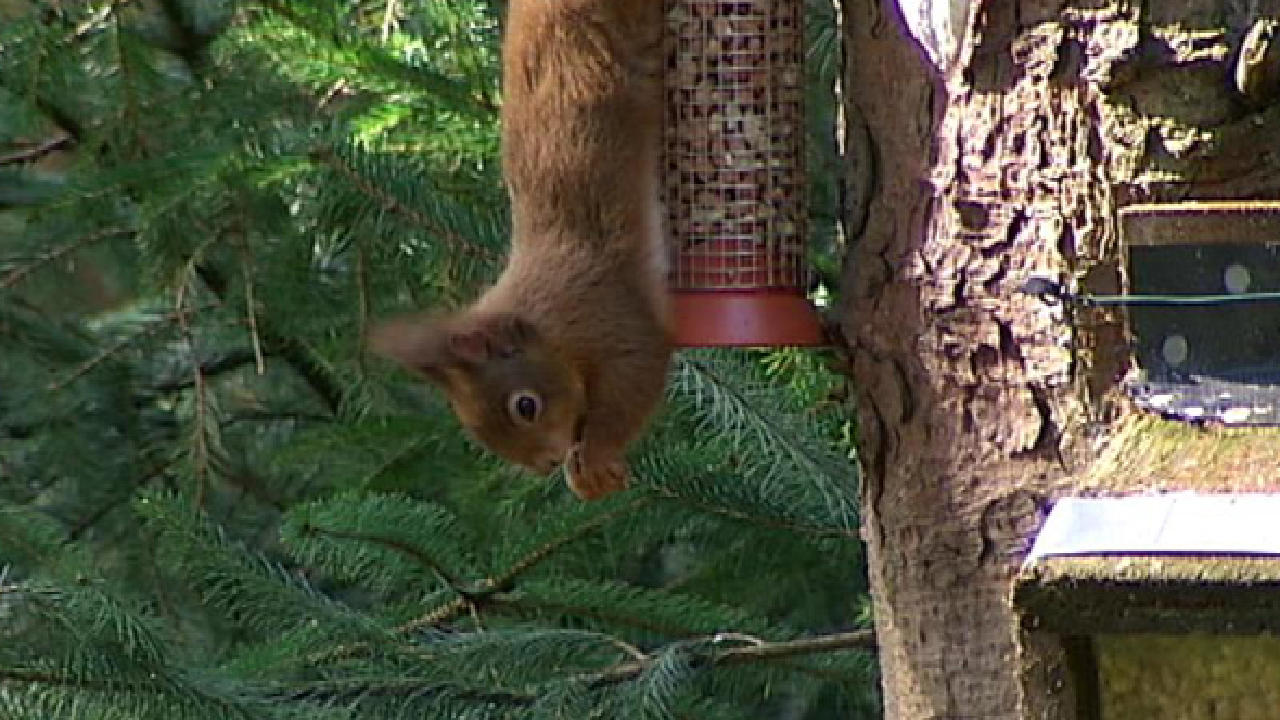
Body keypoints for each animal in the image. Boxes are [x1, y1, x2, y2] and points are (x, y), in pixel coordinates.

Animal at [371, 0, 670, 497]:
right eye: (476, 432)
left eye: (525, 406)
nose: (545, 463)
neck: (547, 325)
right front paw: (583, 468)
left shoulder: (609, 314)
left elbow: (636, 379)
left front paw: (593, 463)